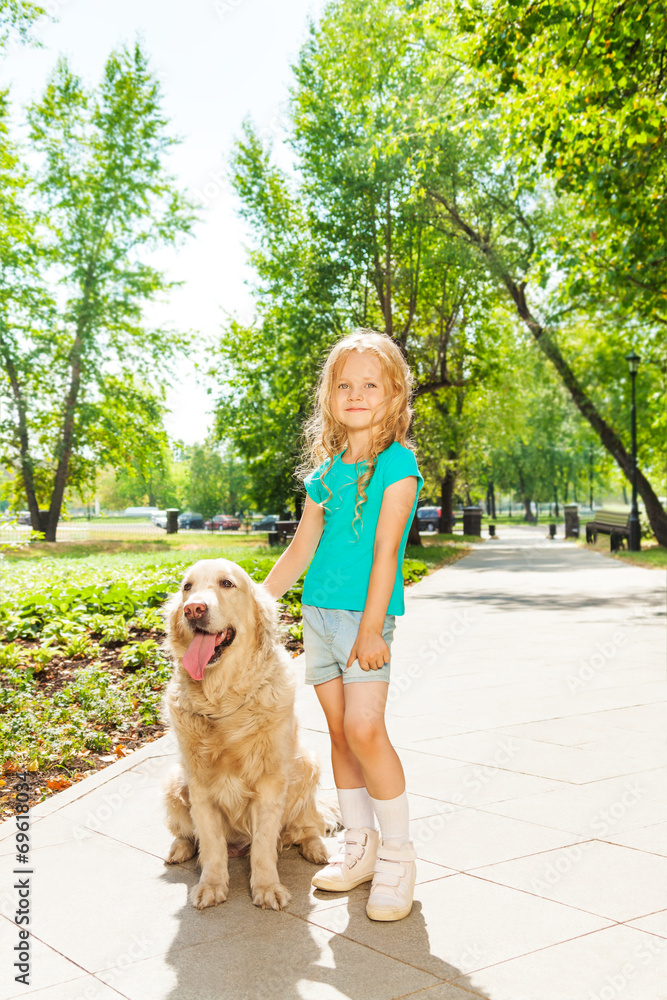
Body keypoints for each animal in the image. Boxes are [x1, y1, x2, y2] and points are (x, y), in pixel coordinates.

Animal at [162, 560, 340, 912]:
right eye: (187, 587)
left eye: (227, 584)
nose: (193, 609)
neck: (223, 698)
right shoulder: (199, 784)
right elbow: (211, 843)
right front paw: (212, 885)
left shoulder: (271, 782)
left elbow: (263, 844)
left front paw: (267, 887)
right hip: (174, 782)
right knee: (189, 835)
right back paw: (180, 848)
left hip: (307, 765)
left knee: (307, 826)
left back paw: (317, 848)